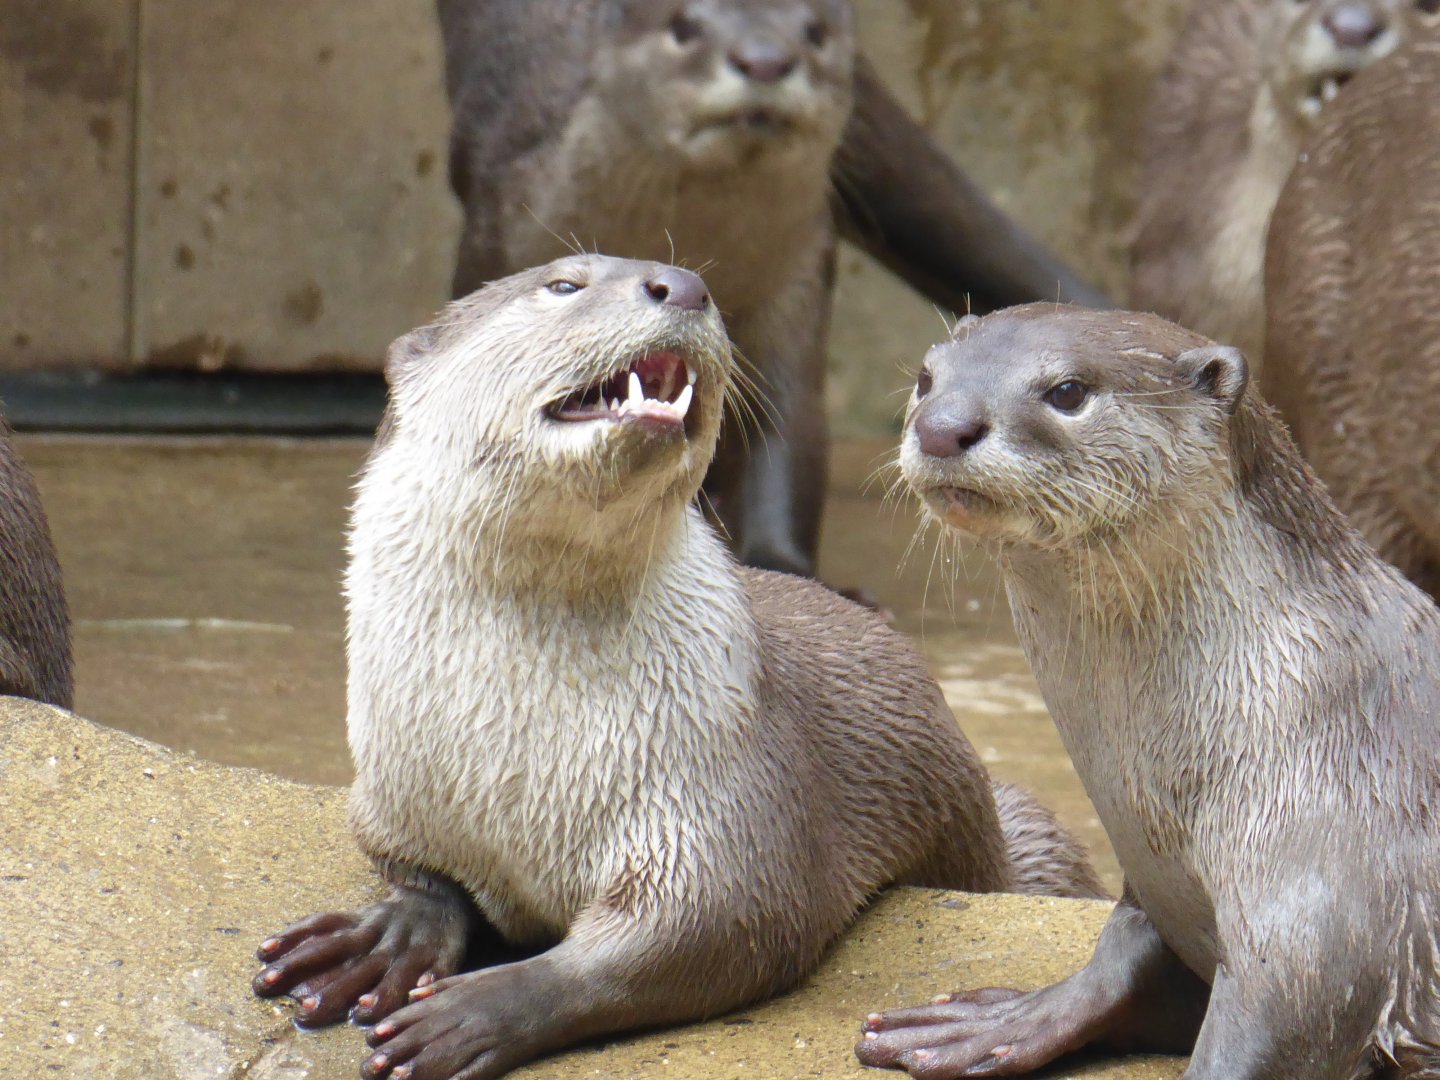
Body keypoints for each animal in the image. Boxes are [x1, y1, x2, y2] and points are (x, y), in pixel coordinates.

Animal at [250, 257, 1102, 1080]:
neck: (518, 757)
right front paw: (387, 937)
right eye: (564, 283)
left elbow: (699, 930)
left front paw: (473, 1011)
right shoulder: (396, 791)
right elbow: (415, 872)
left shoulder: (719, 789)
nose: (685, 284)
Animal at [437, 0, 1108, 582]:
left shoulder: (798, 282)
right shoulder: (500, 234)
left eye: (813, 32)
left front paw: (780, 564)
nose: (764, 59)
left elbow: (788, 425)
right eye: (683, 26)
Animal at [857, 305, 1440, 1078]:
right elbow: (1123, 956)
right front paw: (1002, 1022)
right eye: (927, 378)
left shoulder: (1332, 863)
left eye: (1068, 391)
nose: (942, 426)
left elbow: (1294, 1007)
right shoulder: (1158, 880)